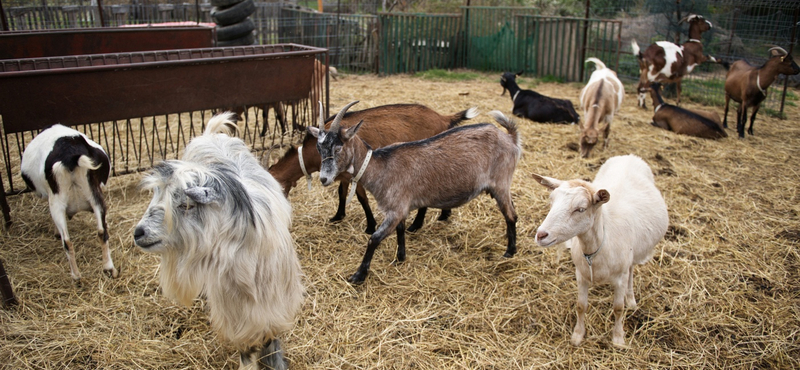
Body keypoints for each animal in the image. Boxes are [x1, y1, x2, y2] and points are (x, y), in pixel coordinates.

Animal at [20, 125, 118, 282]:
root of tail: (69, 155)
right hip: (95, 196)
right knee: (102, 232)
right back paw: (109, 269)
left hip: (57, 201)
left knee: (67, 242)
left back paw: (76, 277)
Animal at [134, 113, 304, 370]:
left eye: (187, 205)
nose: (138, 233)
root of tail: (210, 135)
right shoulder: (234, 310)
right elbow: (245, 345)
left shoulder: (275, 300)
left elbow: (271, 335)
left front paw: (275, 361)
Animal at [268, 102, 476, 233]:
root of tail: (442, 118)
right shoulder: (343, 176)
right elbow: (341, 194)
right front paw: (338, 215)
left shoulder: (358, 173)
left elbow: (362, 198)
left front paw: (370, 226)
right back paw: (444, 214)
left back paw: (416, 225)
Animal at [306, 102, 520, 284]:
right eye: (319, 148)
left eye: (338, 147)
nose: (324, 179)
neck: (381, 167)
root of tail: (509, 138)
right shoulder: (400, 207)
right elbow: (400, 230)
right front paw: (400, 258)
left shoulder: (395, 210)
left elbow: (374, 238)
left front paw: (358, 275)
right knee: (513, 212)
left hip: (501, 183)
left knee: (510, 215)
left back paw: (510, 252)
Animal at [532, 155, 668, 348]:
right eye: (552, 201)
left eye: (580, 209)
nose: (541, 235)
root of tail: (629, 156)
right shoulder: (581, 274)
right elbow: (581, 305)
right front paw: (577, 335)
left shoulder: (620, 277)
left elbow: (618, 308)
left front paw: (618, 338)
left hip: (633, 255)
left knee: (631, 270)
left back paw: (631, 299)